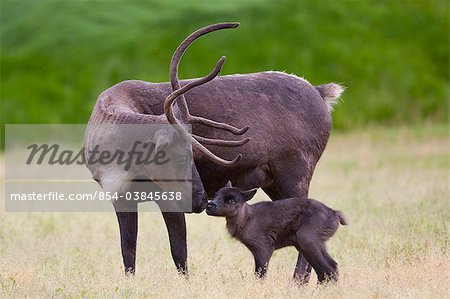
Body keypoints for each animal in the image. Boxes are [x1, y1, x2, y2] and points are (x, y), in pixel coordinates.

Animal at [206, 183, 346, 284]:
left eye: (231, 201)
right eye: (216, 195)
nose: (210, 205)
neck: (247, 219)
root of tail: (335, 214)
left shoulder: (263, 248)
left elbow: (260, 274)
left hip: (308, 239)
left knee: (331, 267)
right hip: (305, 245)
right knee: (323, 271)